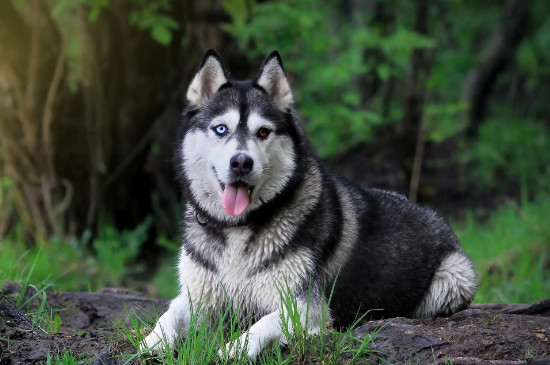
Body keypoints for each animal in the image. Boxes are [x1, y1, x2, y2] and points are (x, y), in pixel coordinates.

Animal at [142, 49, 478, 356]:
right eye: (221, 129)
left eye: (263, 132)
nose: (241, 162)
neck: (238, 228)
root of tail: (432, 213)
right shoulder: (197, 297)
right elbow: (168, 316)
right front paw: (151, 342)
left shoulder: (306, 308)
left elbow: (261, 325)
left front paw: (233, 349)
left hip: (455, 279)